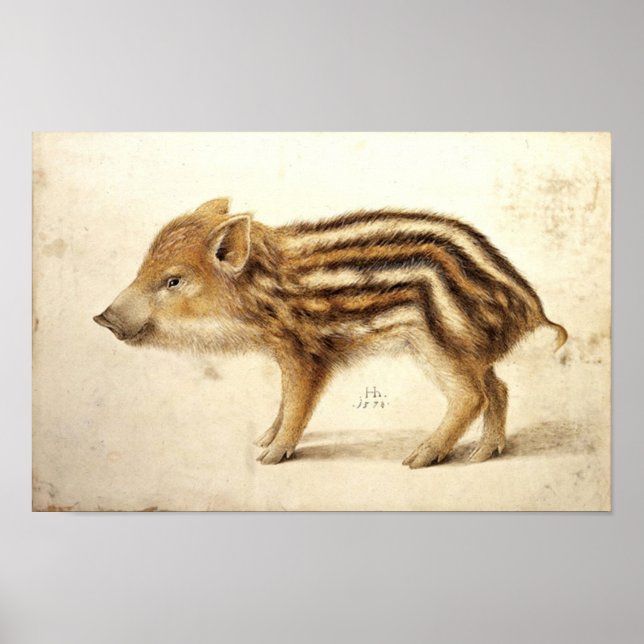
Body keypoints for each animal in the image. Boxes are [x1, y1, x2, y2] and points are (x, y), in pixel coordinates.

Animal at [94, 197, 567, 468]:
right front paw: (262, 439)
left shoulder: (307, 352)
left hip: (439, 343)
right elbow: (285, 400)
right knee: (498, 388)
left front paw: (269, 458)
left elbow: (298, 404)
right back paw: (482, 454)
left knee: (471, 396)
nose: (101, 318)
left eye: (173, 281)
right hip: (468, 348)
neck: (267, 294)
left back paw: (417, 459)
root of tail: (528, 305)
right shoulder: (285, 353)